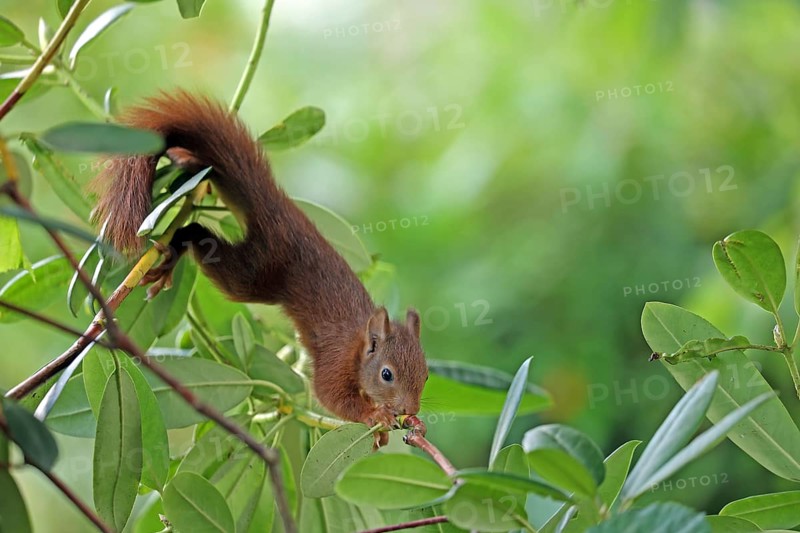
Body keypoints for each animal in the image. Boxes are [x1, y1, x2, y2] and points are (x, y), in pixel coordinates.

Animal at [90, 91, 428, 444]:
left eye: (426, 375)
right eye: (386, 374)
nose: (411, 408)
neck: (360, 342)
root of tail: (276, 207)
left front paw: (402, 425)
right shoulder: (336, 361)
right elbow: (329, 395)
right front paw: (374, 415)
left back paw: (187, 163)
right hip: (253, 272)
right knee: (198, 235)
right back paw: (173, 253)